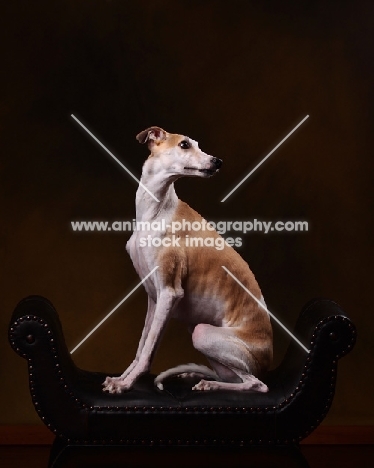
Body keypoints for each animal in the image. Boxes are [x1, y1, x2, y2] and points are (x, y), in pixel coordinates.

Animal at [102, 126, 272, 394]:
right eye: (184, 144)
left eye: (197, 145)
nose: (217, 162)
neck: (155, 212)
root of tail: (268, 361)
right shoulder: (154, 297)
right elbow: (141, 347)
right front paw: (122, 377)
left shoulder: (169, 293)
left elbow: (148, 351)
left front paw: (126, 384)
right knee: (238, 379)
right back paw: (198, 375)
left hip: (202, 333)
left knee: (257, 384)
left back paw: (210, 384)